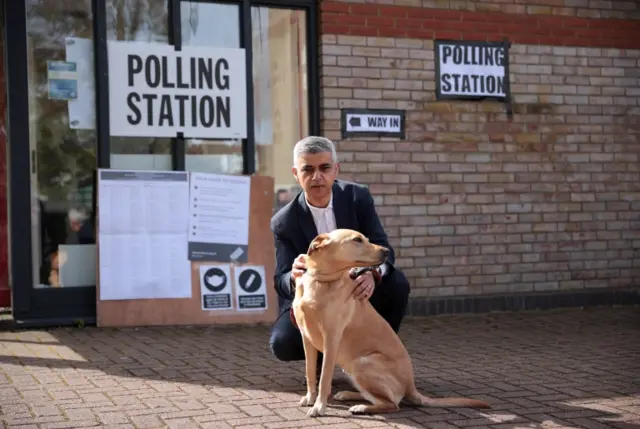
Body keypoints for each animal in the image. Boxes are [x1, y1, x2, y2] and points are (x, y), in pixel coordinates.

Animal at [292, 229, 492, 416]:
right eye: (357, 239)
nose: (387, 251)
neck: (321, 281)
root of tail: (411, 386)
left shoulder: (331, 339)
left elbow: (324, 379)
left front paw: (319, 407)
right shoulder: (306, 338)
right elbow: (310, 373)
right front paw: (310, 398)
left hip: (362, 363)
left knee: (392, 404)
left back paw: (361, 407)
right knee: (375, 397)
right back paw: (348, 395)